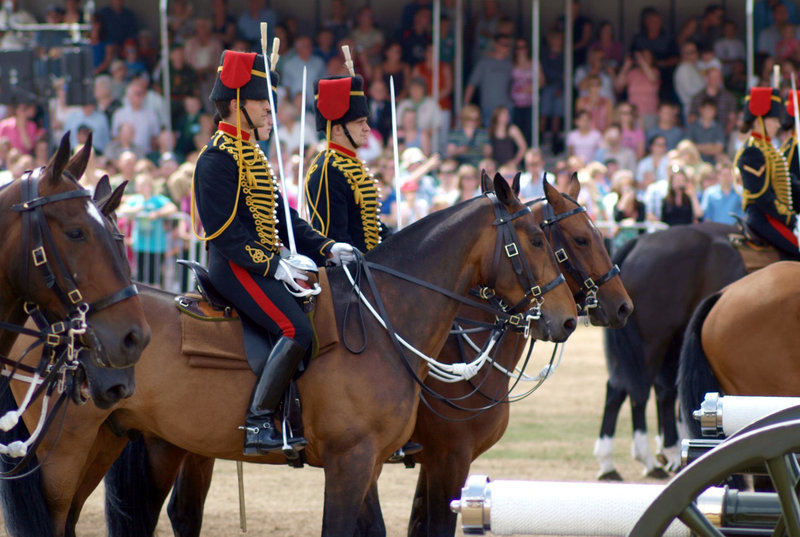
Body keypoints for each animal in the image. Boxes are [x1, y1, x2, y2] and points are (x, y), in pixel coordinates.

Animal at [1, 175, 576, 536]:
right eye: (536, 240)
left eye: (557, 240)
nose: (569, 318)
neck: (384, 322)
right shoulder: (361, 462)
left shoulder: (375, 464)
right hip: (60, 454)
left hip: (112, 442)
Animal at [592, 220, 744, 480]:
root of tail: (639, 241)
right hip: (653, 341)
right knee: (639, 391)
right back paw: (647, 458)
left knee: (625, 388)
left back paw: (613, 462)